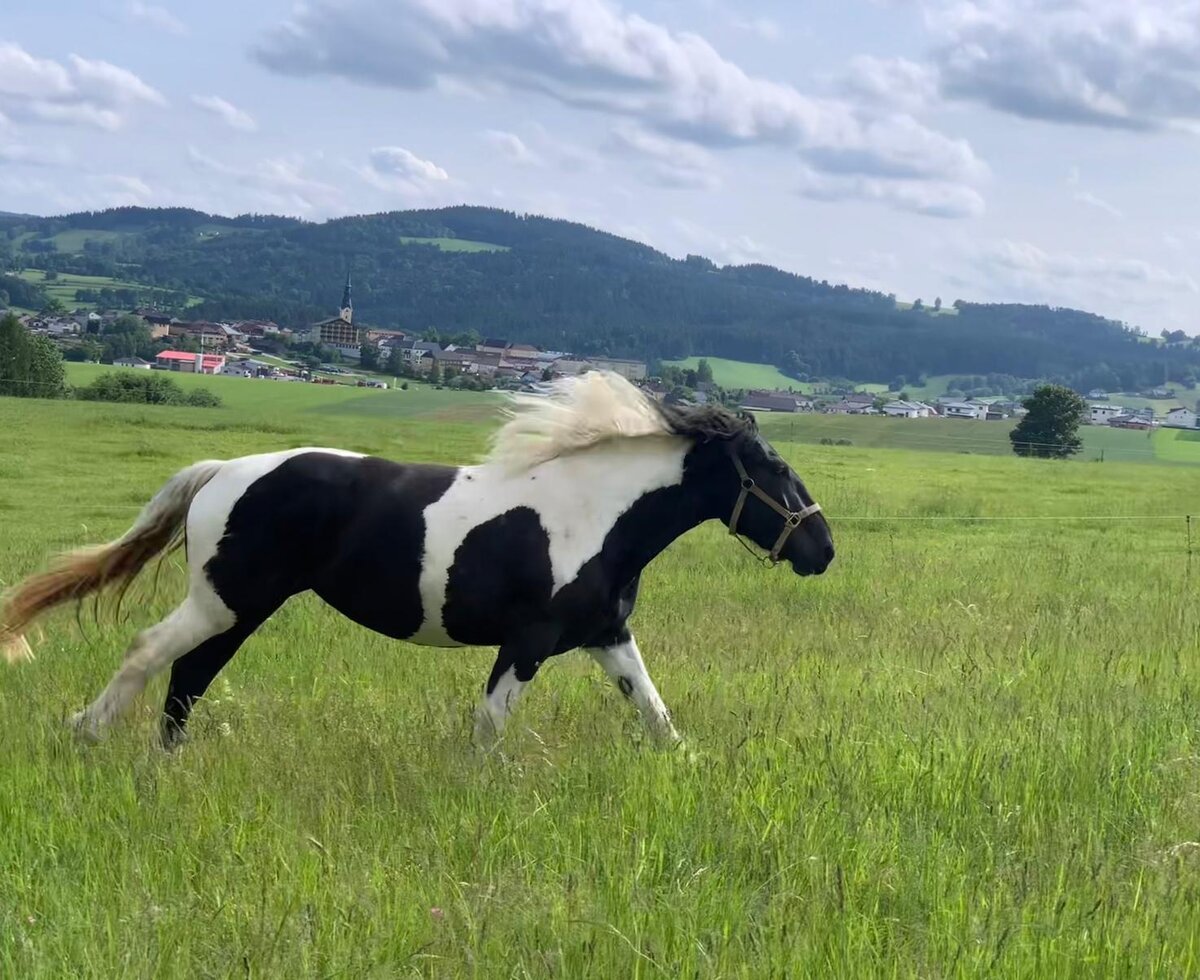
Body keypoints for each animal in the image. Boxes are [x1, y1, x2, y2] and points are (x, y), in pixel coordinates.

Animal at [0, 371, 833, 749]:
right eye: (773, 470)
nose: (823, 550)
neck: (595, 515)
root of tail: (221, 472)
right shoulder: (528, 641)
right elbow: (489, 727)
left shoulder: (606, 636)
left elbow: (657, 716)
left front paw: (688, 769)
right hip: (224, 598)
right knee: (150, 654)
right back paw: (86, 735)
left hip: (242, 606)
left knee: (190, 678)